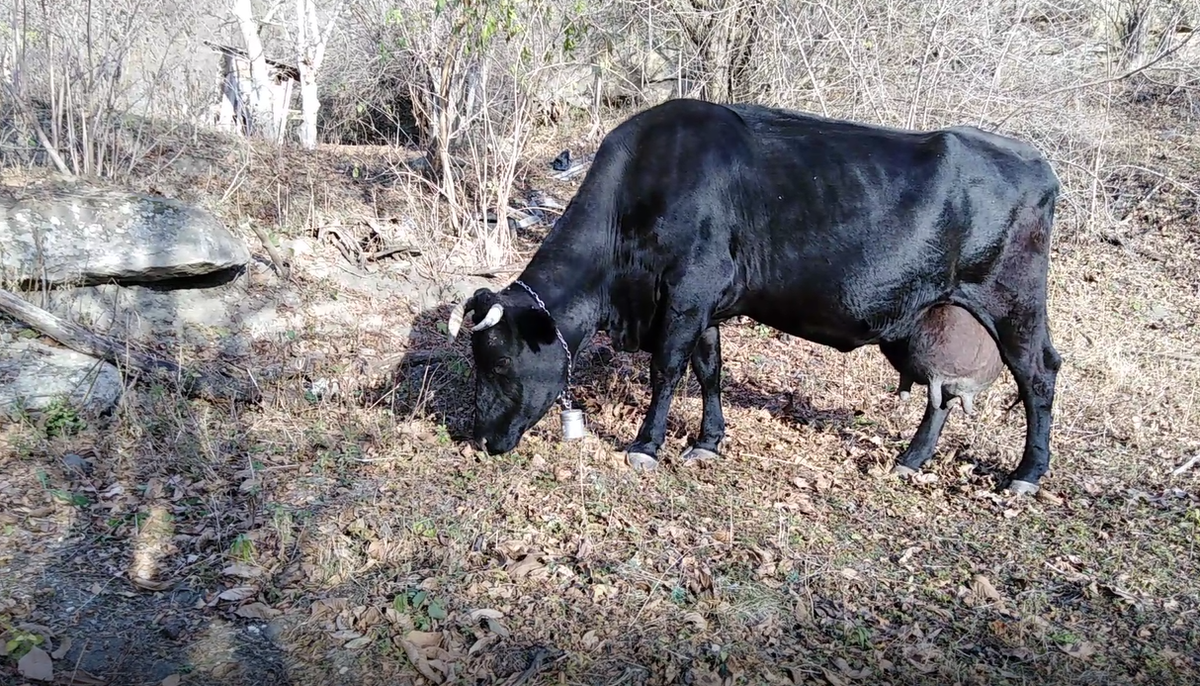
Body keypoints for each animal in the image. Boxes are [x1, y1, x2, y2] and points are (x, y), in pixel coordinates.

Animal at [446, 97, 1065, 494]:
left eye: (496, 361)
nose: (478, 438)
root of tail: (1036, 160)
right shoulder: (705, 304)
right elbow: (708, 369)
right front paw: (708, 442)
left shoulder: (686, 291)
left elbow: (666, 370)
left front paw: (646, 446)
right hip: (931, 319)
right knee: (941, 394)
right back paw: (910, 461)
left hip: (1014, 303)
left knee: (1039, 373)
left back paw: (1026, 476)